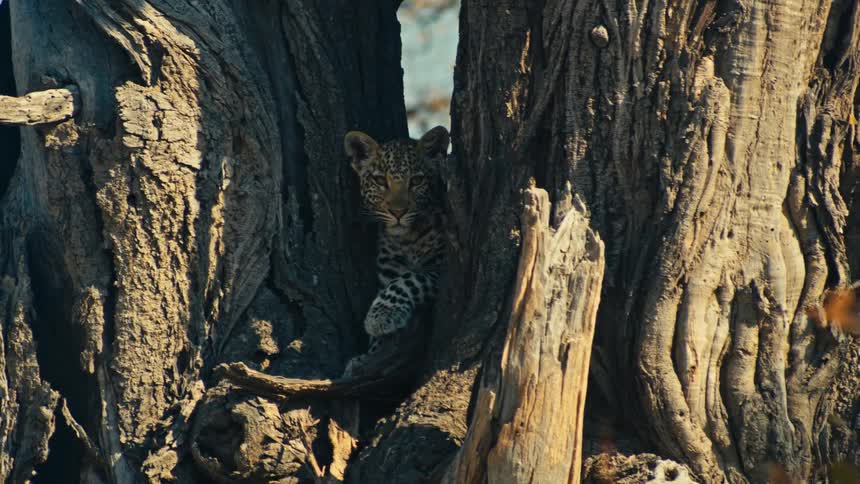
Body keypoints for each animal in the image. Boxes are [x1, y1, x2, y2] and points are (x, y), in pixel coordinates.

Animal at [341, 126, 449, 377]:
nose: (398, 212)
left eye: (417, 180)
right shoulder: (388, 271)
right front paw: (369, 357)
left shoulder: (442, 267)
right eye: (380, 180)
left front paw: (379, 316)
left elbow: (411, 279)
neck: (407, 239)